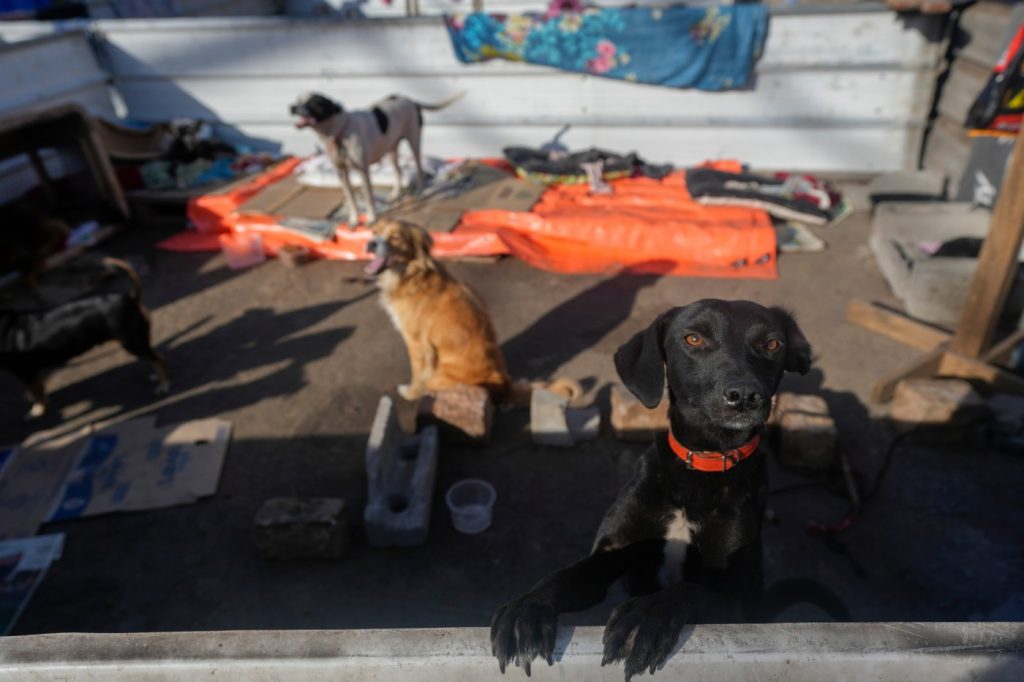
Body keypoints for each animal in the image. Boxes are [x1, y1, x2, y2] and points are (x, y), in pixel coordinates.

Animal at [0, 258, 167, 417]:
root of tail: (130, 298)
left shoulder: (24, 371)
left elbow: (37, 392)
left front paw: (38, 410)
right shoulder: (32, 372)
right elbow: (38, 387)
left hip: (132, 343)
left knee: (160, 360)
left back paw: (164, 385)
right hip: (136, 343)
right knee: (154, 358)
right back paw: (157, 377)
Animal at [366, 218, 577, 401]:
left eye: (396, 237)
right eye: (375, 232)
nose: (371, 243)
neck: (412, 275)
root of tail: (506, 387)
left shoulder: (416, 342)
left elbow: (417, 374)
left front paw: (410, 393)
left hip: (440, 377)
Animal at [491, 301, 819, 675]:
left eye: (772, 344)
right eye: (694, 339)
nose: (745, 396)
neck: (701, 465)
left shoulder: (732, 600)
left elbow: (688, 590)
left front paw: (645, 617)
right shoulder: (612, 552)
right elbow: (564, 576)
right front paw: (526, 609)